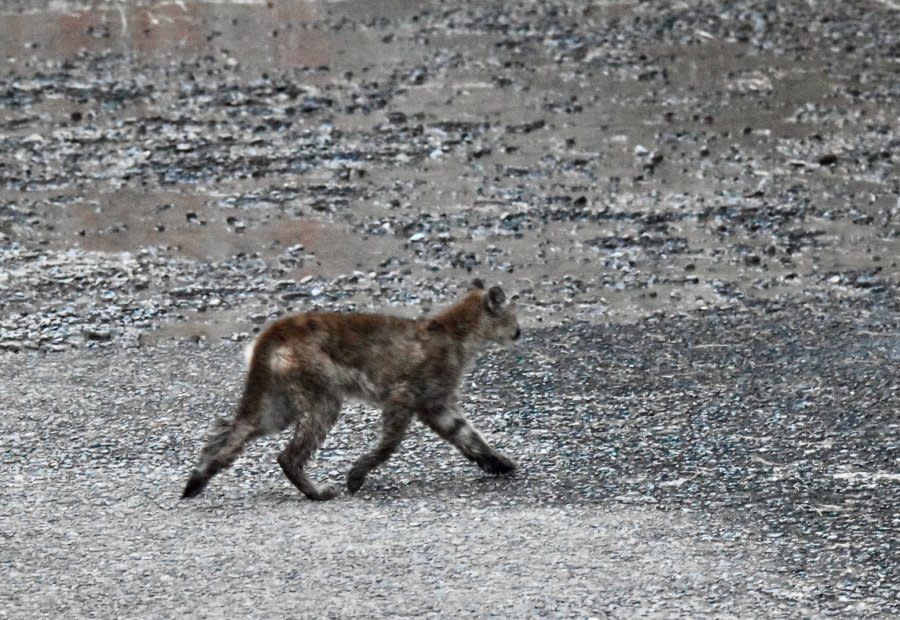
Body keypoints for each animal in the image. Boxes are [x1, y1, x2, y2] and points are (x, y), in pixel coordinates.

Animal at [181, 278, 520, 502]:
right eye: (513, 316)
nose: (519, 331)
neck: (460, 334)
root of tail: (273, 331)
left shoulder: (437, 403)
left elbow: (468, 436)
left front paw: (499, 463)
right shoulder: (406, 396)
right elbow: (388, 445)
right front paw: (356, 477)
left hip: (278, 406)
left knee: (231, 428)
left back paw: (196, 480)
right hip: (322, 397)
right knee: (286, 455)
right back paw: (318, 493)